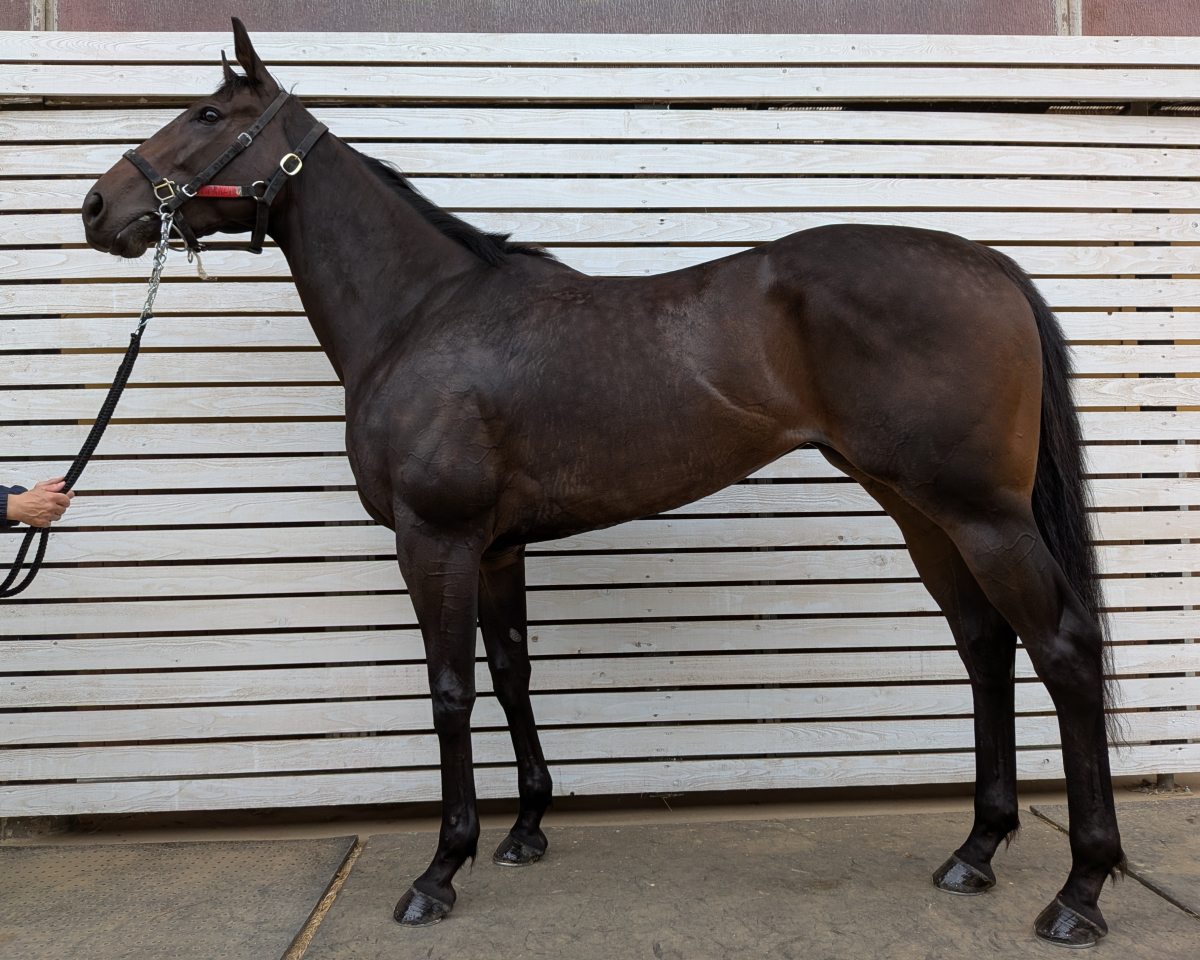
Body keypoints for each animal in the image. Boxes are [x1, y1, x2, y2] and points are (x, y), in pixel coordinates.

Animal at [82, 19, 1123, 947]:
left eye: (207, 113)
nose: (96, 207)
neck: (421, 315)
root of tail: (990, 265)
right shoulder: (495, 549)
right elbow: (511, 674)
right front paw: (525, 830)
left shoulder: (435, 539)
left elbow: (451, 691)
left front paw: (440, 869)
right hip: (919, 510)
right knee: (986, 647)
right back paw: (977, 850)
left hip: (980, 514)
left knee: (1064, 651)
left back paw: (1079, 892)